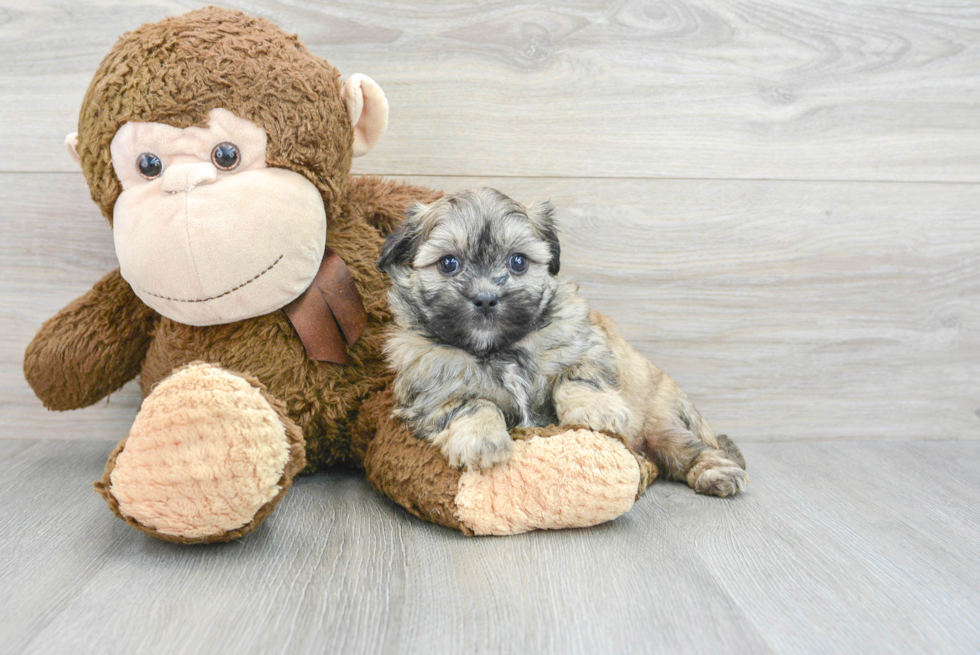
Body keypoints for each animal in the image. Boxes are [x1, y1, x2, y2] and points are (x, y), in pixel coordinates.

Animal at [378, 190, 748, 498]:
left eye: (518, 262)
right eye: (448, 263)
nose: (485, 299)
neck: (499, 348)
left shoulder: (585, 345)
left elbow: (577, 376)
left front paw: (597, 410)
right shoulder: (430, 391)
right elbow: (472, 404)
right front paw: (482, 439)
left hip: (661, 423)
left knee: (690, 449)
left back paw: (717, 472)